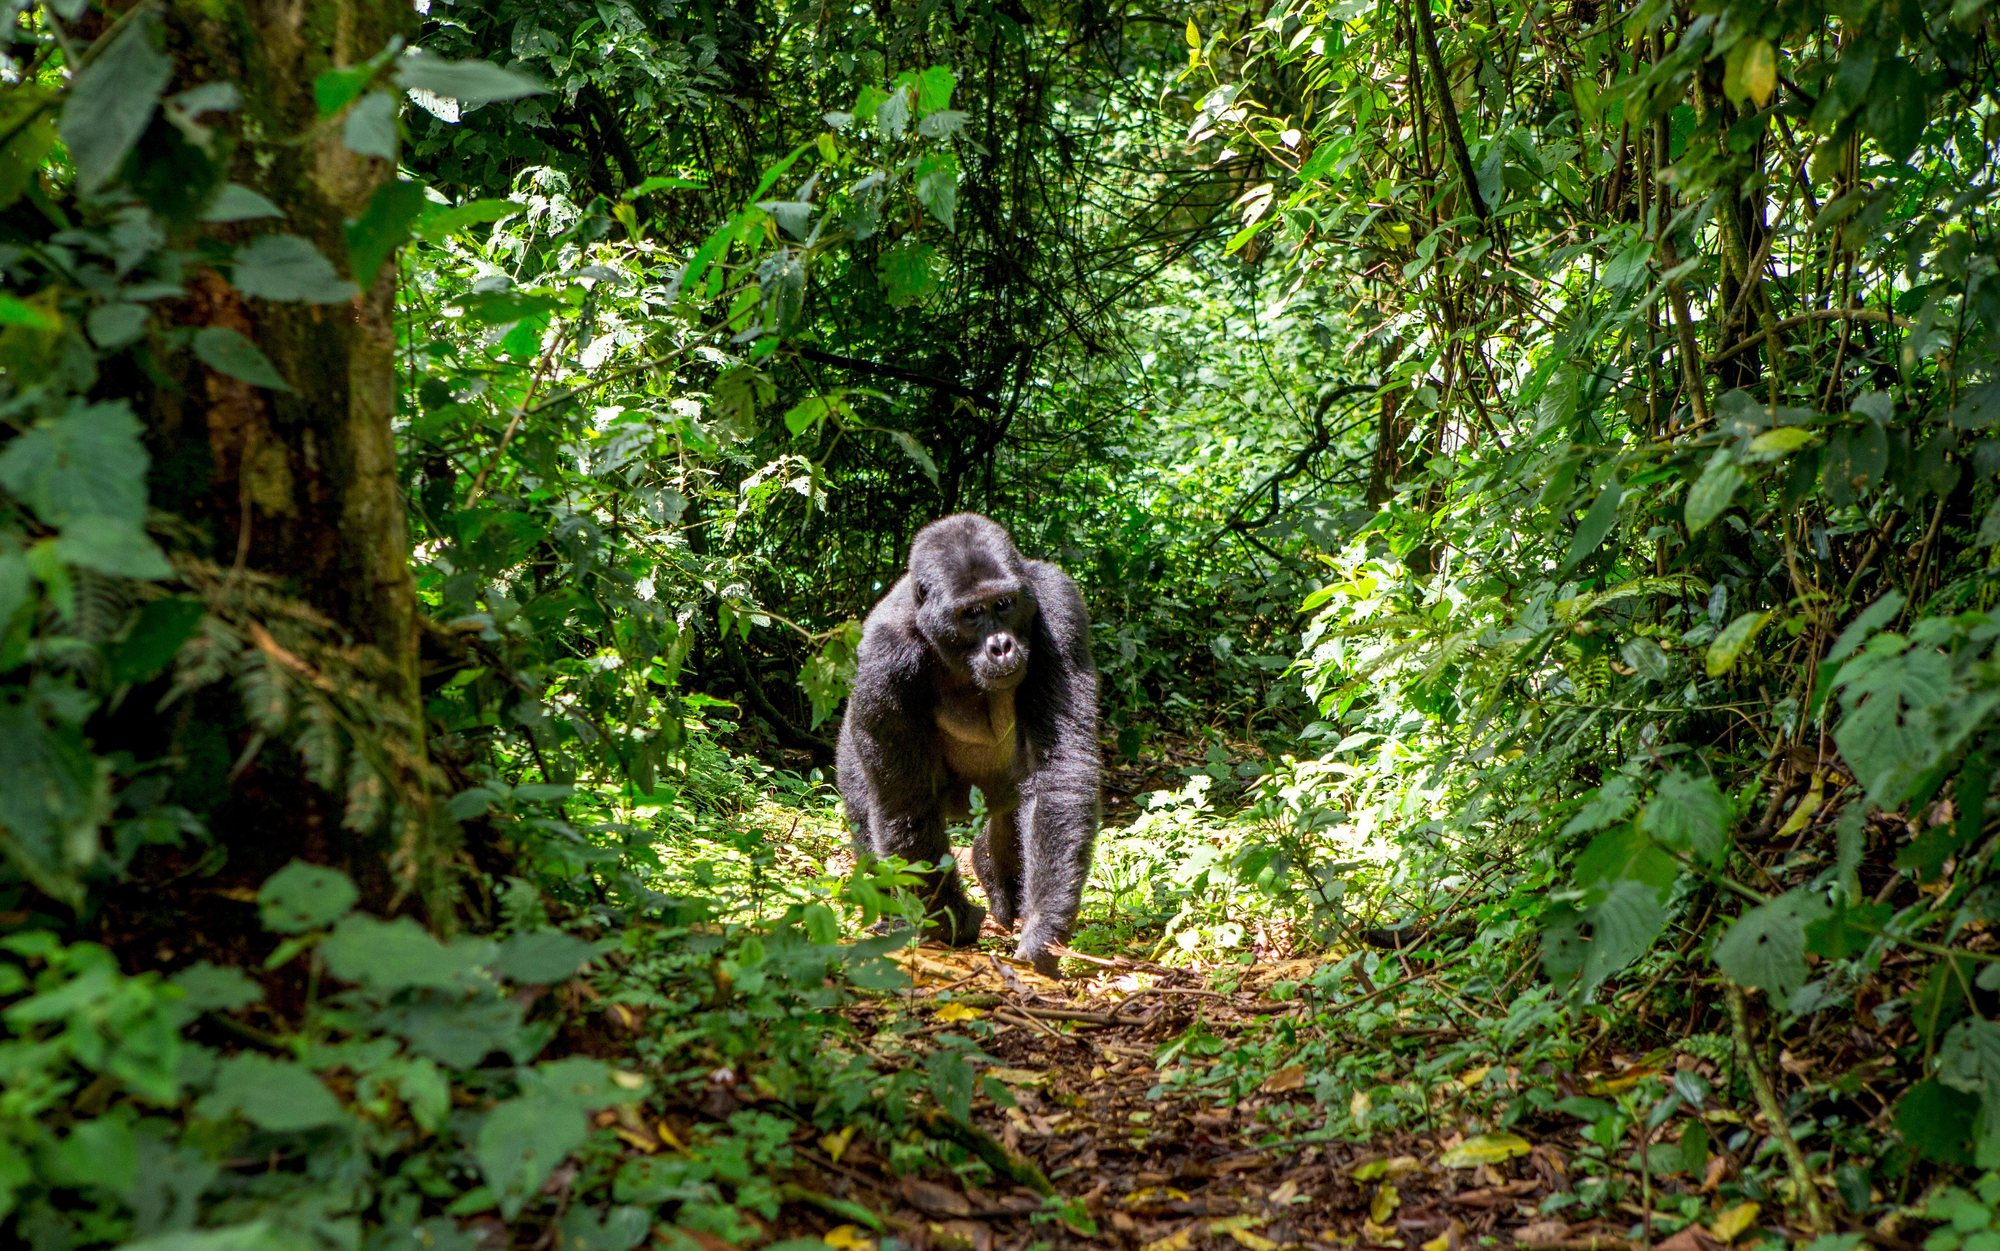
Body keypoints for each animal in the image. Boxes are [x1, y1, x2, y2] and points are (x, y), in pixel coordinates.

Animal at [836, 513, 1101, 976]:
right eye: (971, 614)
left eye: (1004, 605)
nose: (1002, 646)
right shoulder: (884, 657)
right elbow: (906, 803)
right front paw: (950, 922)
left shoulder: (1058, 604)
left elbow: (1059, 770)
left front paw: (1044, 926)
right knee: (867, 809)